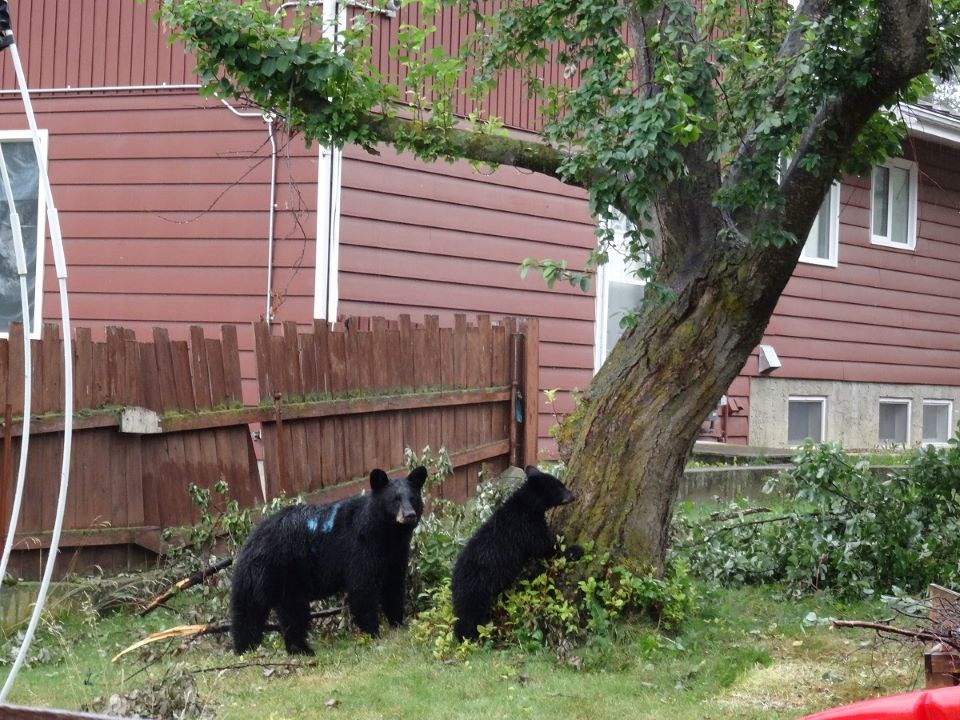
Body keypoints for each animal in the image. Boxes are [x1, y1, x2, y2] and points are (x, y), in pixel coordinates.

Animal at [231, 464, 426, 656]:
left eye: (413, 498)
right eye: (395, 499)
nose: (409, 515)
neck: (386, 534)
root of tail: (250, 541)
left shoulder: (396, 555)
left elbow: (394, 586)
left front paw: (398, 625)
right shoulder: (360, 548)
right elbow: (363, 589)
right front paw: (373, 633)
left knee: (289, 613)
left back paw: (298, 649)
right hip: (272, 570)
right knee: (254, 609)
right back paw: (247, 648)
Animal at [452, 466, 580, 640]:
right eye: (559, 486)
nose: (573, 495)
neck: (527, 506)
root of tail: (454, 580)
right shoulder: (527, 528)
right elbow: (546, 549)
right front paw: (575, 550)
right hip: (476, 589)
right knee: (469, 616)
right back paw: (471, 636)